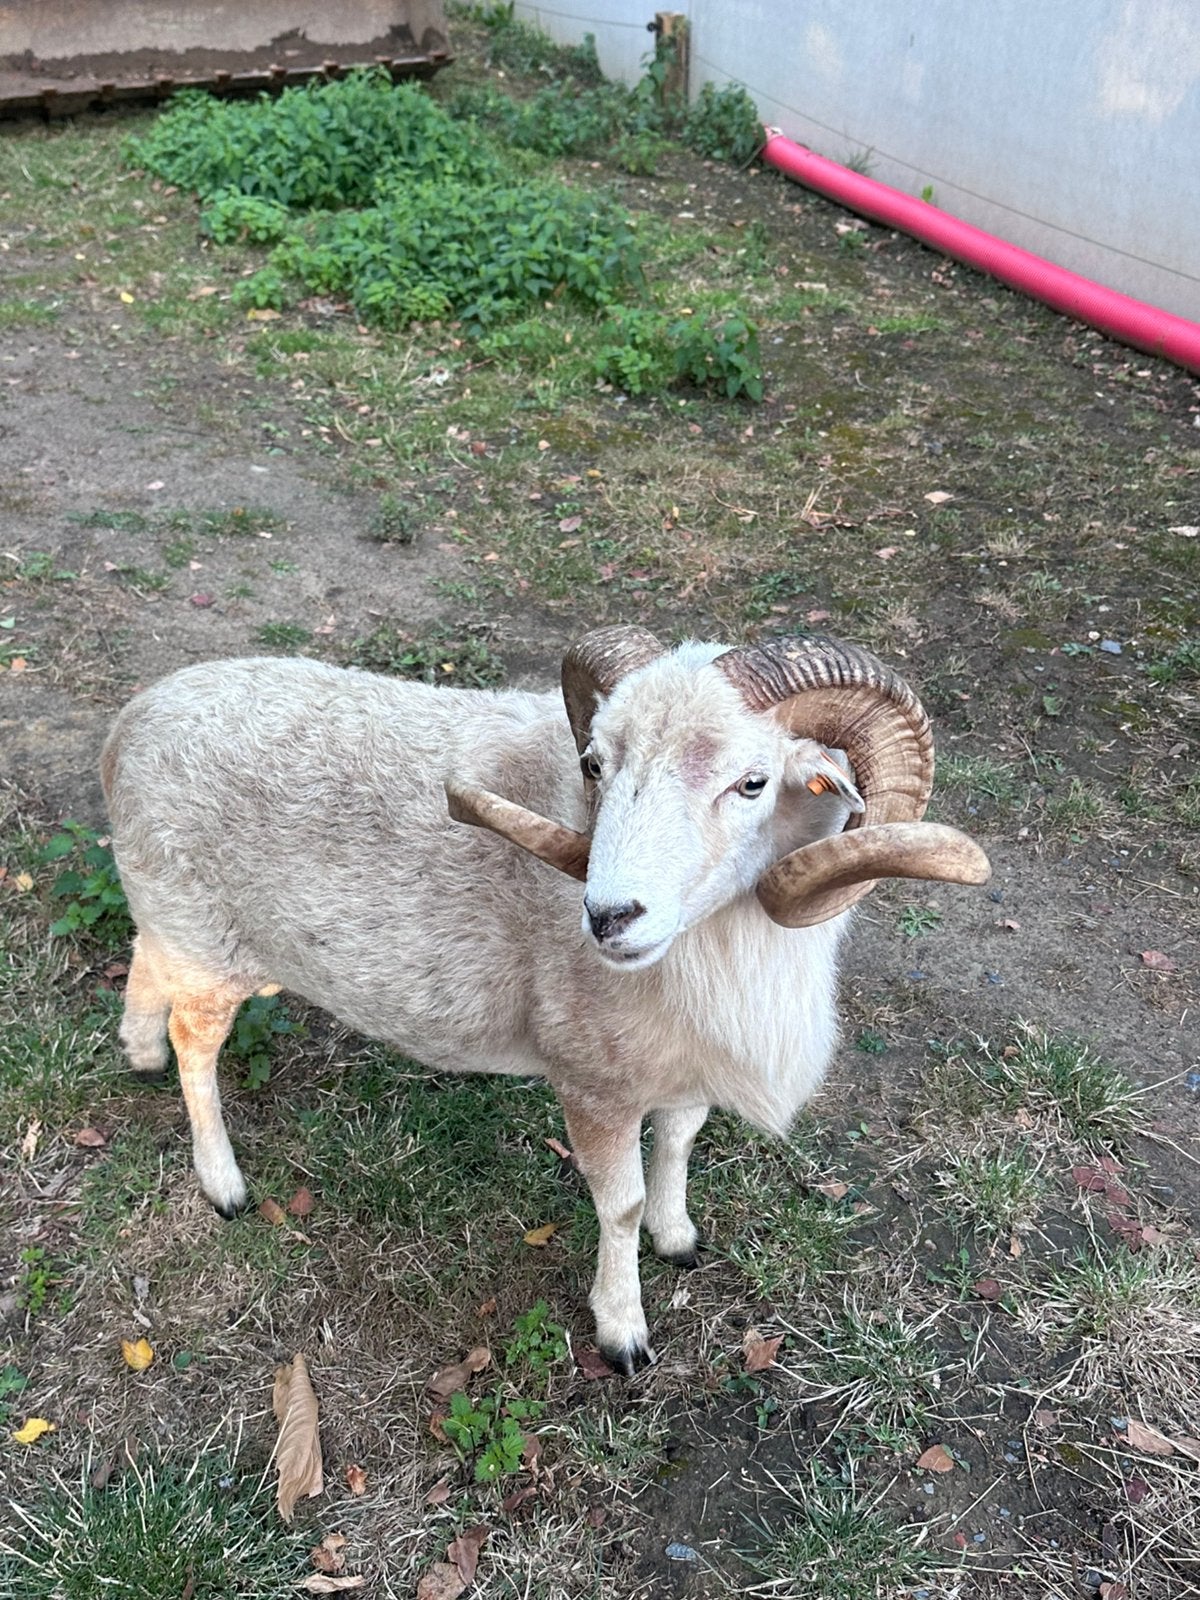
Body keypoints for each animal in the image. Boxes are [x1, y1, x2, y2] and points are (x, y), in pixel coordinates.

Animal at [100, 626, 989, 1372]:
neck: (724, 953)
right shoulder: (594, 1085)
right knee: (196, 1049)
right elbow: (621, 1205)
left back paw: (136, 1050)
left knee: (144, 963)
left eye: (752, 783)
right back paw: (222, 1183)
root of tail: (131, 723)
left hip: (180, 930)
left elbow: (679, 1146)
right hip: (209, 952)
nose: (608, 916)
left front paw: (679, 1238)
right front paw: (623, 1330)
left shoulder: (682, 1069)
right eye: (595, 765)